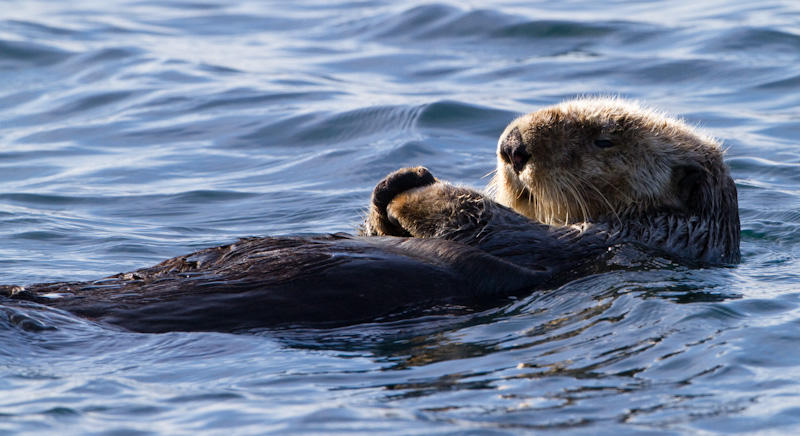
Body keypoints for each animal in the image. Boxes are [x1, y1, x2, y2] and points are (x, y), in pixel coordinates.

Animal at [0, 97, 740, 332]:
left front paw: (413, 186)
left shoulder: (598, 240)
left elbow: (476, 219)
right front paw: (395, 183)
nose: (511, 145)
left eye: (605, 138)